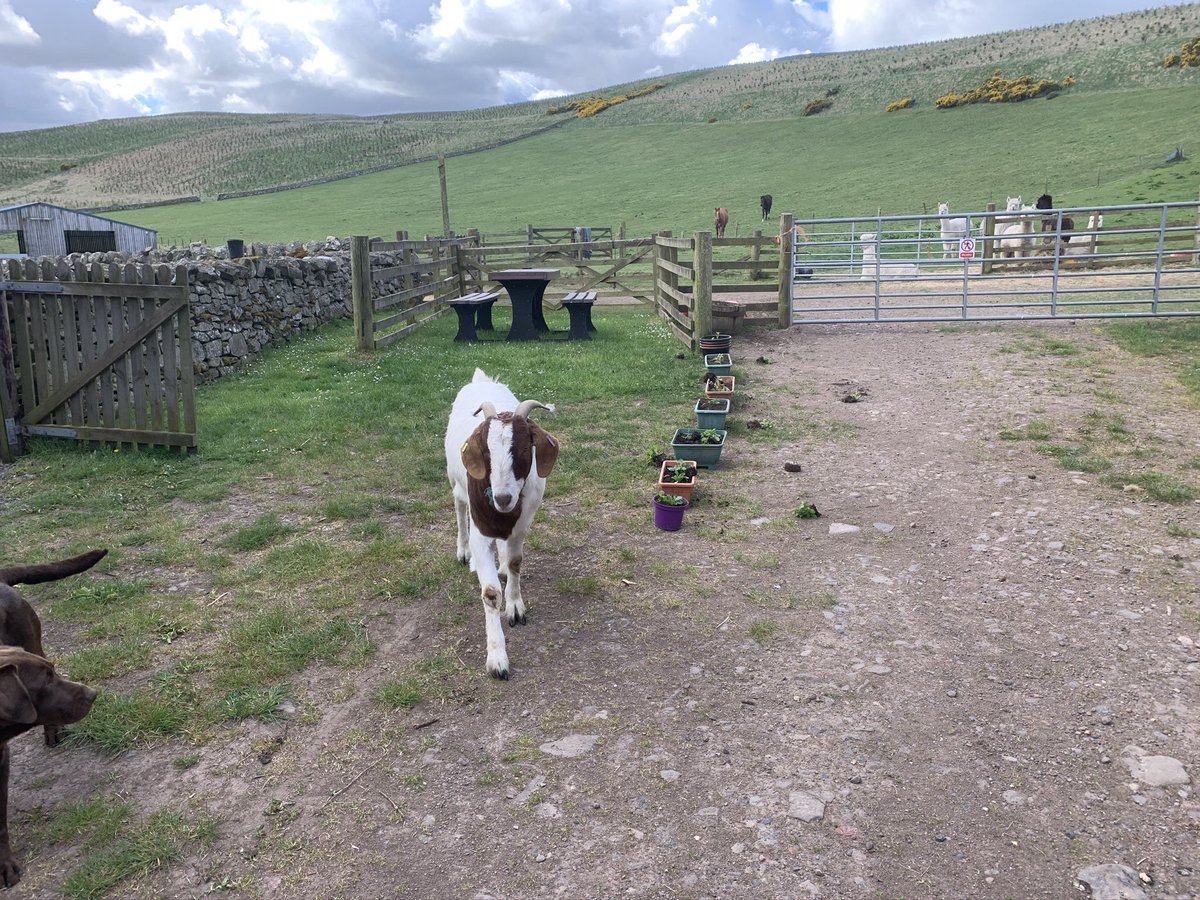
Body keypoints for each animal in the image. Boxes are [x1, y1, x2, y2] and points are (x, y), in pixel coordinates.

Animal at [445, 369, 560, 680]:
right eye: (485, 453)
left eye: (523, 451)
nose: (503, 497)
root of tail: (483, 380)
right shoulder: (482, 525)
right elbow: (490, 593)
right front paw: (497, 659)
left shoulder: (521, 523)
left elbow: (517, 561)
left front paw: (515, 606)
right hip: (454, 479)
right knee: (459, 506)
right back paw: (464, 553)